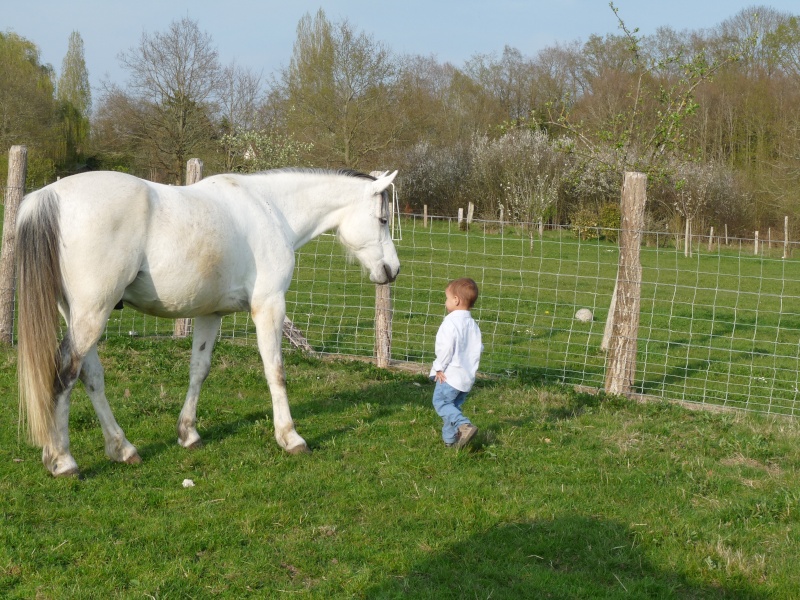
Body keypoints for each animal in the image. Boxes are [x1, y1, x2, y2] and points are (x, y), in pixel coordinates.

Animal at [18, 169, 404, 478]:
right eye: (383, 219)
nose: (393, 270)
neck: (271, 208)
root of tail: (48, 195)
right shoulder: (269, 307)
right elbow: (276, 372)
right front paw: (290, 437)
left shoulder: (209, 314)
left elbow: (198, 370)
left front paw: (188, 434)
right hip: (92, 314)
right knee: (65, 374)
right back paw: (63, 460)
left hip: (81, 315)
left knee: (91, 377)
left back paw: (122, 448)